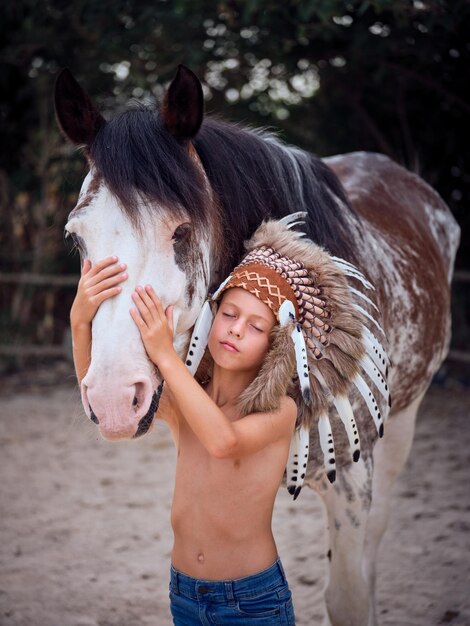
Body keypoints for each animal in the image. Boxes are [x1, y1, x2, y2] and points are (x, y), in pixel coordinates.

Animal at [54, 64, 458, 624]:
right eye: (77, 238)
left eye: (181, 231)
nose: (113, 399)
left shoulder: (354, 482)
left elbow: (349, 595)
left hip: (402, 423)